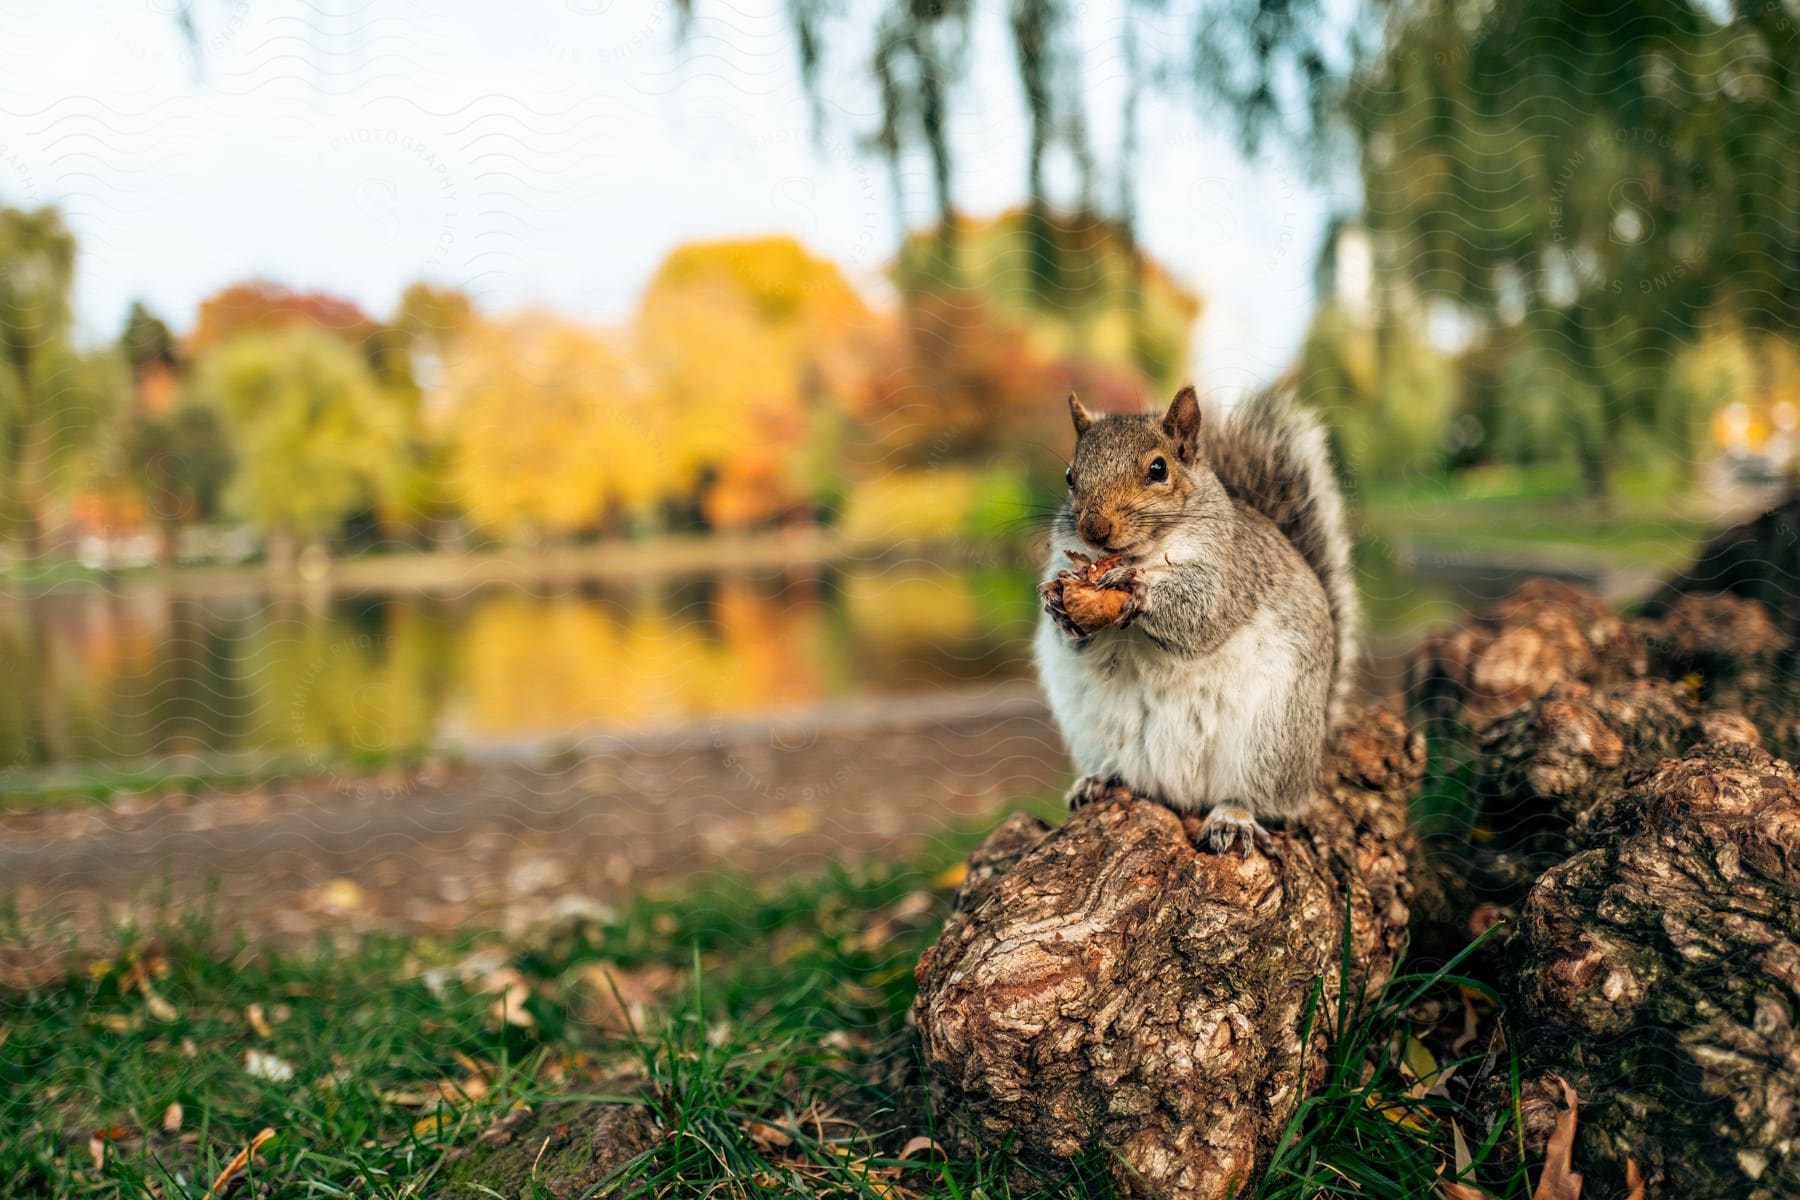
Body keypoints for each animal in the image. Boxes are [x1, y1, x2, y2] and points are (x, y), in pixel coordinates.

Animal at [1036, 383, 1353, 852]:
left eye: (1158, 469)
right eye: (1070, 476)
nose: (1094, 529)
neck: (1144, 554)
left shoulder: (1231, 569)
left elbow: (1201, 616)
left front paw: (1134, 587)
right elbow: (1071, 638)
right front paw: (1056, 601)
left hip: (1271, 740)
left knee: (1256, 796)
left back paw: (1233, 818)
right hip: (1092, 729)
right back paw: (1100, 781)